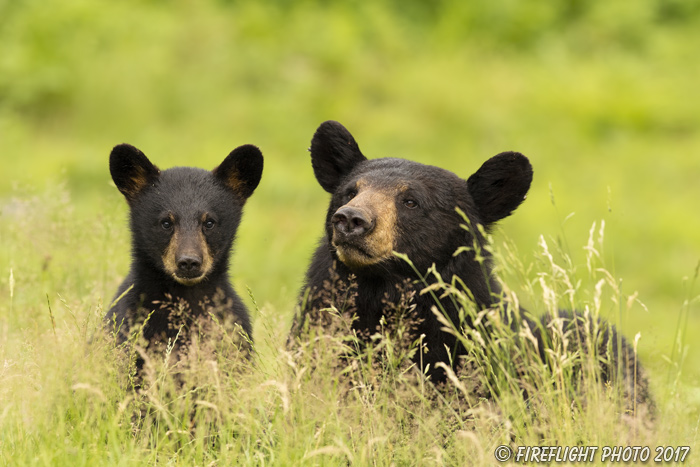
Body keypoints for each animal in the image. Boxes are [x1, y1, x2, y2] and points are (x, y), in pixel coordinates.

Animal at [106, 144, 262, 372]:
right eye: (166, 222)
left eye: (209, 222)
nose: (189, 262)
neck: (185, 298)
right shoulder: (130, 327)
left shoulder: (233, 331)